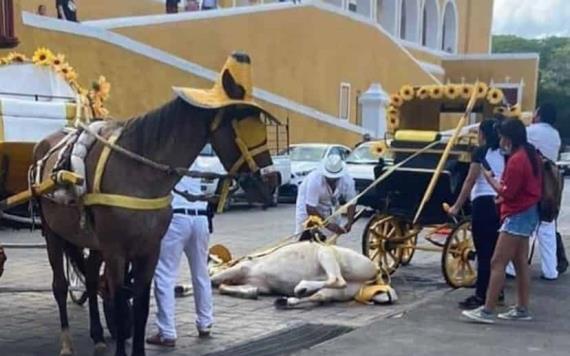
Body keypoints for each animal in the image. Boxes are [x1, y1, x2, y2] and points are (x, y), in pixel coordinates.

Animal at [33, 93, 276, 354]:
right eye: (244, 128)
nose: (272, 180)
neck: (138, 173)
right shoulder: (116, 251)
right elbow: (120, 303)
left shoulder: (149, 250)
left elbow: (141, 306)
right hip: (53, 233)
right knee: (60, 286)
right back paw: (67, 342)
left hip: (95, 242)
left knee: (90, 278)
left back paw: (97, 335)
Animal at [209, 242, 394, 308]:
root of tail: (376, 270)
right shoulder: (258, 284)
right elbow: (224, 286)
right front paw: (250, 293)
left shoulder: (243, 268)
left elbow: (214, 281)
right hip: (345, 290)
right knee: (321, 296)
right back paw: (287, 300)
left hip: (325, 253)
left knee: (336, 279)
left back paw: (302, 286)